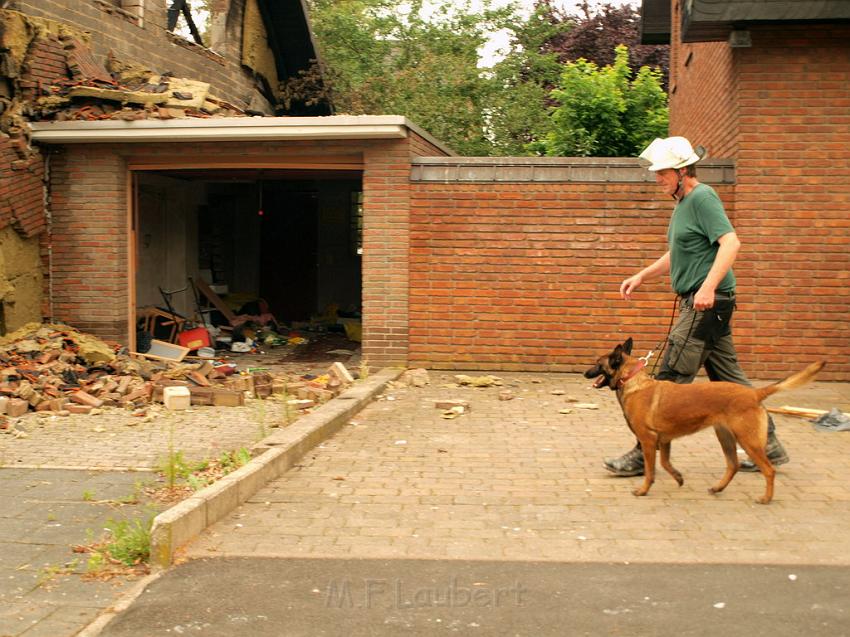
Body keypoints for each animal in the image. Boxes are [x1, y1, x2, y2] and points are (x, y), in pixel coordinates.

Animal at [584, 338, 820, 502]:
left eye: (597, 363)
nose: (586, 373)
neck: (632, 381)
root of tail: (754, 394)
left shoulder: (649, 440)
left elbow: (651, 470)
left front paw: (643, 490)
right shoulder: (665, 440)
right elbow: (666, 463)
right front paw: (678, 477)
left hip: (747, 440)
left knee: (768, 470)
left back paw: (766, 498)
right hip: (725, 437)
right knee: (733, 465)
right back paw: (718, 488)